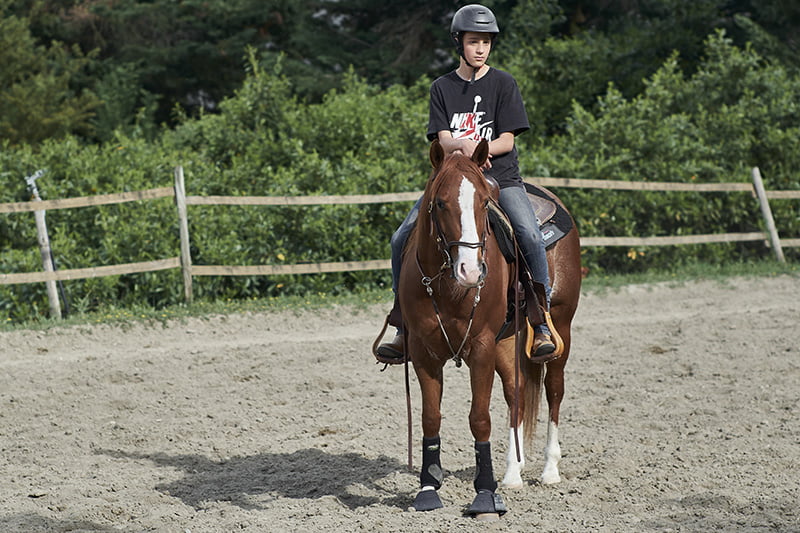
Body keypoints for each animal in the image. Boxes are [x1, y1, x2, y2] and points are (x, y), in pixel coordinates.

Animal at [397, 138, 581, 517]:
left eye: (484, 202)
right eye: (440, 202)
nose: (470, 271)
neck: (450, 288)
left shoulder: (480, 348)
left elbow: (479, 418)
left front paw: (484, 496)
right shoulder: (423, 352)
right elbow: (431, 417)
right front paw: (428, 488)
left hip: (561, 328)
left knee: (554, 391)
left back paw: (549, 469)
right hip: (507, 343)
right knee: (516, 396)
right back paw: (512, 473)